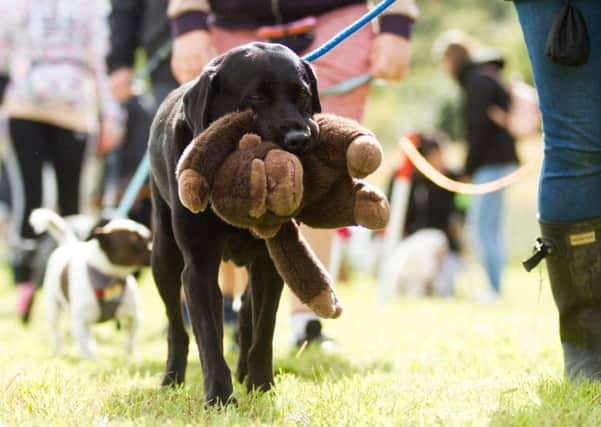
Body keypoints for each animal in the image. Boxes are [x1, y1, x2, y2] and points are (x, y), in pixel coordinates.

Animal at [30, 209, 152, 360]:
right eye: (134, 240)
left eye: (148, 236)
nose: (153, 247)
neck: (109, 279)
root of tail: (68, 244)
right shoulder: (79, 323)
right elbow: (87, 348)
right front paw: (91, 360)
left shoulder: (133, 317)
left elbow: (130, 340)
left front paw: (131, 356)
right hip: (53, 309)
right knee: (57, 333)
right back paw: (59, 351)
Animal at [148, 42, 322, 404]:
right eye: (255, 97)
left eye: (302, 95)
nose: (299, 138)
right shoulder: (198, 266)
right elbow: (208, 338)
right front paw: (219, 397)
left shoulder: (271, 262)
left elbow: (263, 331)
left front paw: (261, 386)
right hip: (164, 257)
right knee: (178, 326)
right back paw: (172, 378)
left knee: (244, 313)